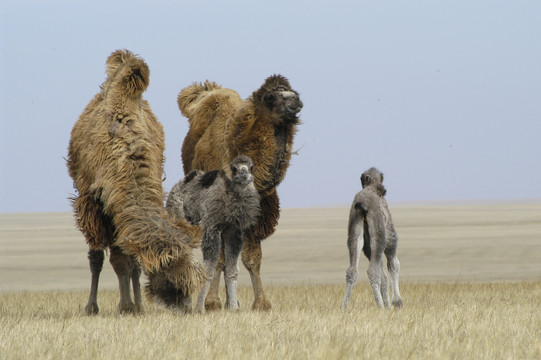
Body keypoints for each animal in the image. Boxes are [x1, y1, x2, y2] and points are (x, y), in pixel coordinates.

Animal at [65, 49, 205, 314]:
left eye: (193, 280)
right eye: (170, 280)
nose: (186, 309)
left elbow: (133, 260)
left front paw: (136, 304)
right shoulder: (101, 204)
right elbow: (113, 258)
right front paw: (125, 305)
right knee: (96, 256)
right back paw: (93, 306)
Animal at [178, 74, 302, 310]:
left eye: (294, 92)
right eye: (270, 97)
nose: (296, 102)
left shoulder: (255, 215)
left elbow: (253, 258)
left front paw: (261, 303)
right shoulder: (216, 213)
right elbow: (219, 259)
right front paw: (212, 302)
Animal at [340, 167, 402, 308]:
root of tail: (362, 206)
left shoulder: (367, 246)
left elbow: (384, 275)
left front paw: (389, 304)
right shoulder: (389, 235)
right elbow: (394, 264)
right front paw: (396, 302)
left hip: (354, 228)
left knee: (352, 270)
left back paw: (344, 307)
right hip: (379, 233)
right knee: (373, 270)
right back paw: (380, 306)